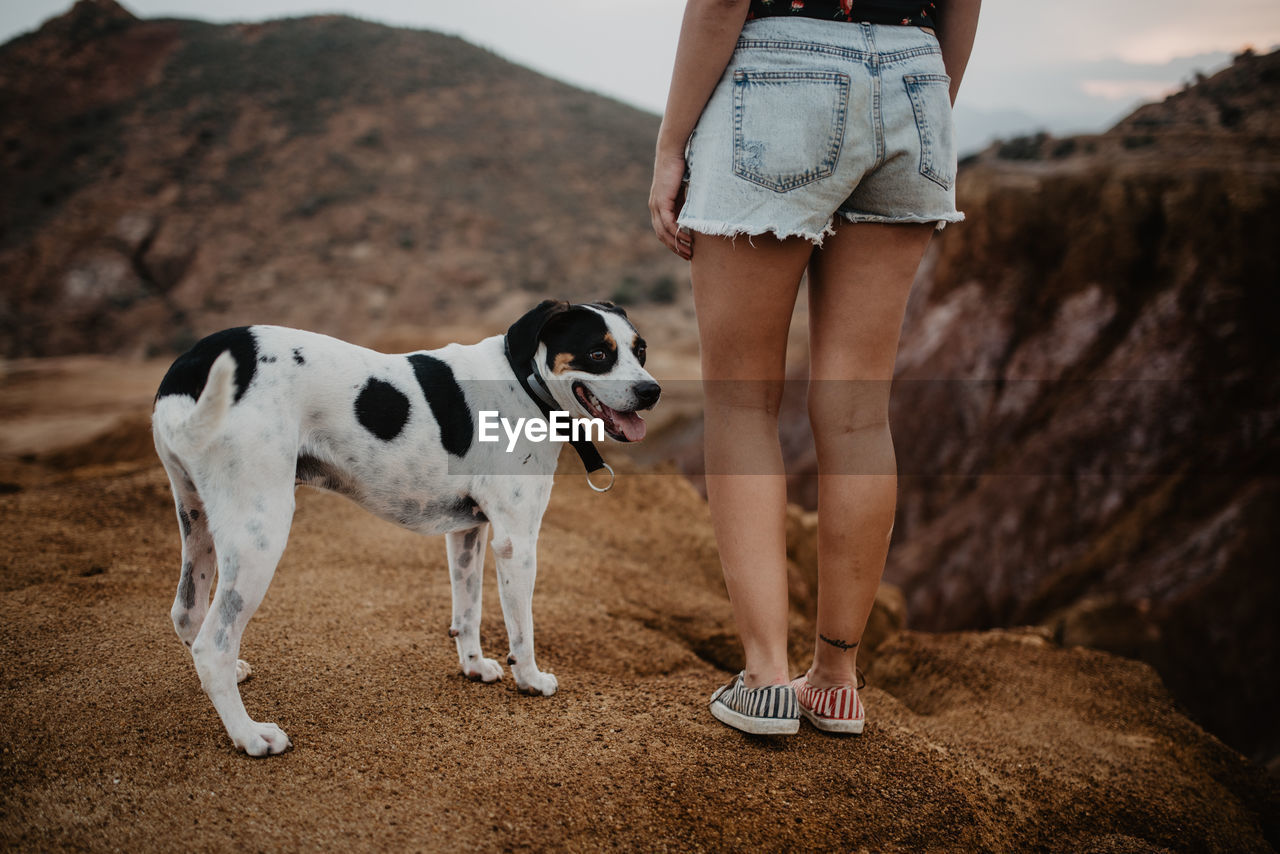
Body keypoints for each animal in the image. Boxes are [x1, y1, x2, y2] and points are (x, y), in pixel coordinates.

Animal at [152, 300, 660, 752]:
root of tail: (188, 367)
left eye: (641, 351)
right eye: (598, 354)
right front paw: (531, 679)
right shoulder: (516, 542)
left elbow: (468, 611)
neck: (525, 384)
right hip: (259, 532)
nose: (652, 392)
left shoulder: (467, 531)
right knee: (212, 645)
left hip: (197, 520)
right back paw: (250, 736)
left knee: (187, 613)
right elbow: (522, 628)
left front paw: (475, 667)